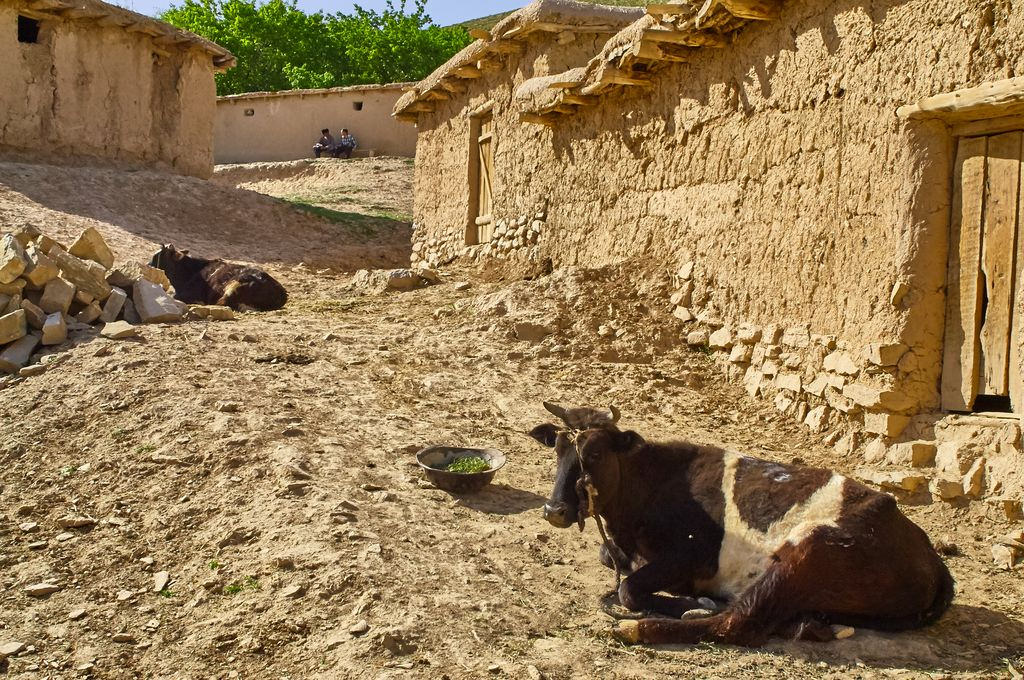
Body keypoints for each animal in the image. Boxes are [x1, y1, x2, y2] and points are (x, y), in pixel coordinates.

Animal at [532, 403, 954, 647]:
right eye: (558, 450)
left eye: (595, 454)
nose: (555, 510)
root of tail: (930, 555)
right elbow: (611, 560)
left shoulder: (692, 555)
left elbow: (629, 590)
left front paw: (690, 601)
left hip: (807, 552)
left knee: (736, 624)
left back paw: (641, 628)